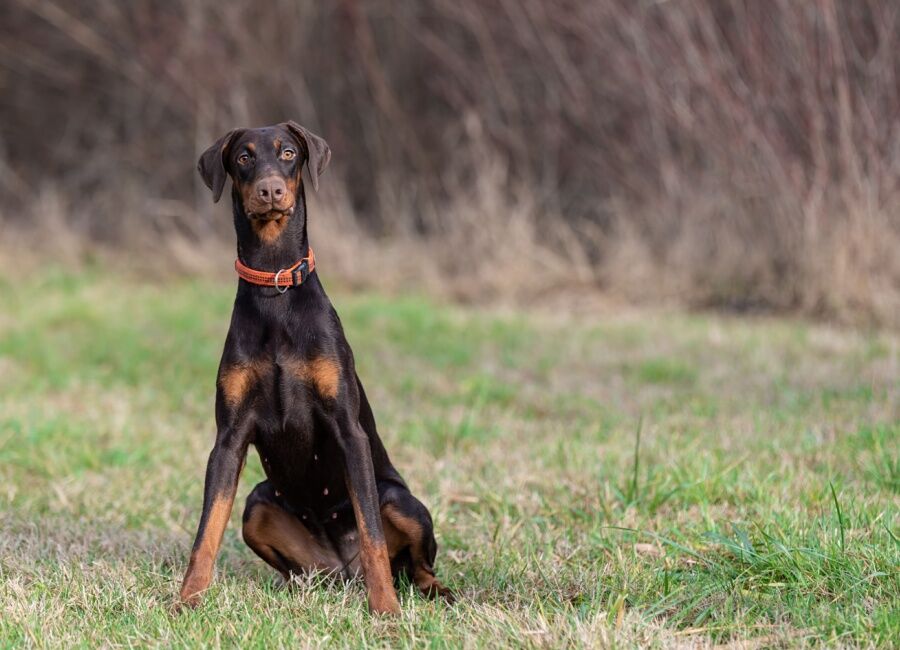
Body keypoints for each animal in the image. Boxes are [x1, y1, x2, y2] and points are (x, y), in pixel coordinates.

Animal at [178, 121, 454, 612]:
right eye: (244, 157)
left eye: (288, 152)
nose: (270, 190)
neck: (274, 287)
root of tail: (344, 567)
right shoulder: (228, 438)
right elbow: (207, 530)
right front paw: (188, 599)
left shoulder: (347, 428)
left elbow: (371, 532)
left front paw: (386, 610)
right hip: (259, 504)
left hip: (401, 500)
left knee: (414, 562)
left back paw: (428, 590)